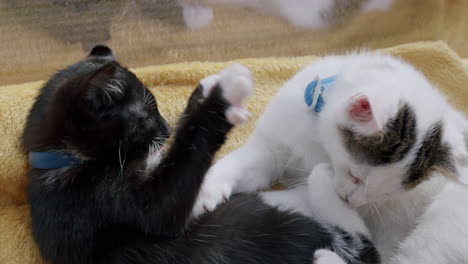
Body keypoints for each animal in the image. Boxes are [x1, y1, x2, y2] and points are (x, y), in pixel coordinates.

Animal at [22, 45, 380, 264]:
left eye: (155, 109)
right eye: (146, 117)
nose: (165, 129)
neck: (63, 159)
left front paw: (207, 89)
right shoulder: (104, 201)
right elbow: (167, 201)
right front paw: (221, 100)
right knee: (361, 238)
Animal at [192, 52, 468, 262]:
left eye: (386, 194)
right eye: (354, 175)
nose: (351, 200)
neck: (317, 140)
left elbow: (307, 194)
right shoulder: (272, 146)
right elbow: (242, 163)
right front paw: (207, 189)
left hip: (441, 224)